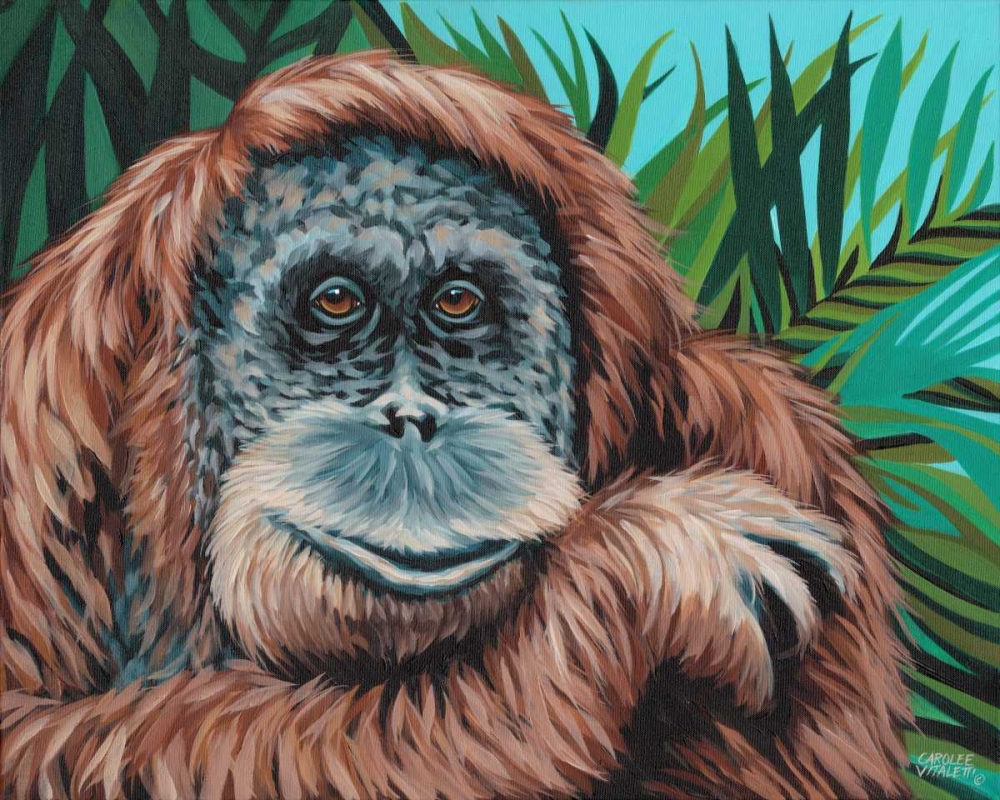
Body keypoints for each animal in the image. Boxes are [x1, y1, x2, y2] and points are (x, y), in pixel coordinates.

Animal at [0, 53, 911, 799]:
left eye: (459, 304)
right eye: (336, 303)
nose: (411, 420)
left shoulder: (765, 423)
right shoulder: (35, 424)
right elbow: (34, 737)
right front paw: (638, 566)